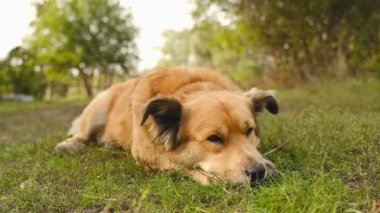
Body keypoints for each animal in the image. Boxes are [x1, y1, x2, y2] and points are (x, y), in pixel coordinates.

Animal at [55, 67, 278, 185]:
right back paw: (68, 145)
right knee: (82, 135)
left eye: (249, 131)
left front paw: (266, 163)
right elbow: (176, 163)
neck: (190, 87)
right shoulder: (146, 153)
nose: (257, 172)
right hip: (96, 110)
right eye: (214, 138)